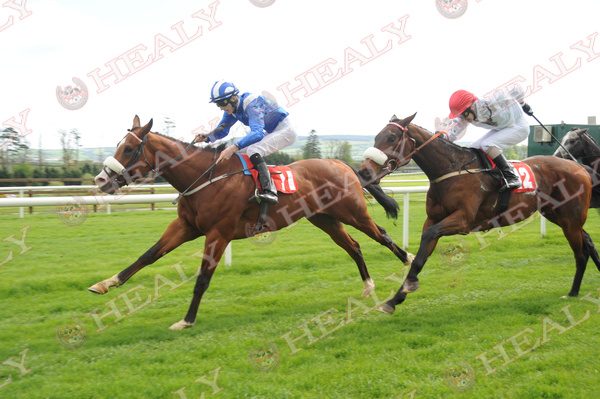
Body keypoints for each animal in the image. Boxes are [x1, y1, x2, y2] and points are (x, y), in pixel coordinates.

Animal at [91, 115, 414, 332]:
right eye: (119, 145)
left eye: (129, 149)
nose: (101, 180)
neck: (206, 177)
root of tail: (342, 164)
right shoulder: (185, 227)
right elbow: (147, 255)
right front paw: (106, 283)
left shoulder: (218, 233)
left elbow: (202, 279)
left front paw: (186, 320)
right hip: (325, 219)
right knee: (354, 246)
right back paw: (368, 286)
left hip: (352, 212)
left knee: (381, 235)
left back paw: (409, 261)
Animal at [356, 113, 600, 316]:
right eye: (377, 137)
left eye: (392, 137)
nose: (364, 171)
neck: (450, 169)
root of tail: (579, 167)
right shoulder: (433, 220)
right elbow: (421, 255)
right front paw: (395, 299)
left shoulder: (462, 220)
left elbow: (428, 239)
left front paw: (408, 286)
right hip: (557, 215)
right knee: (587, 242)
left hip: (570, 218)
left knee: (580, 254)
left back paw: (573, 292)